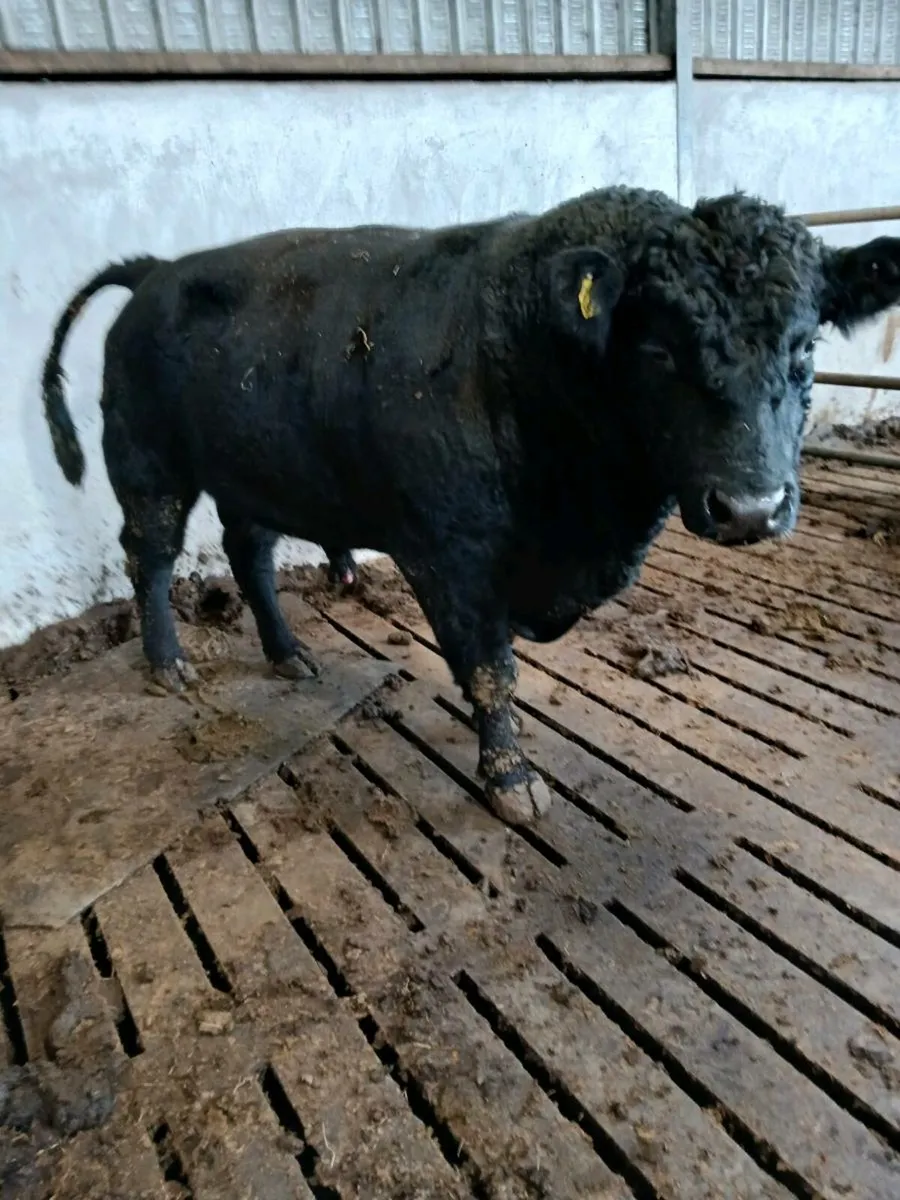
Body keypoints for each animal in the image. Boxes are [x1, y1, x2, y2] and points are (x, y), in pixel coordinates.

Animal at [42, 186, 900, 827]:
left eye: (805, 347)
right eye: (658, 350)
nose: (751, 507)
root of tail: (158, 270)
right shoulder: (449, 555)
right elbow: (491, 672)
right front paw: (511, 779)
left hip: (252, 471)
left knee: (247, 552)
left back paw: (287, 654)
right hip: (148, 464)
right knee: (150, 557)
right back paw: (168, 663)